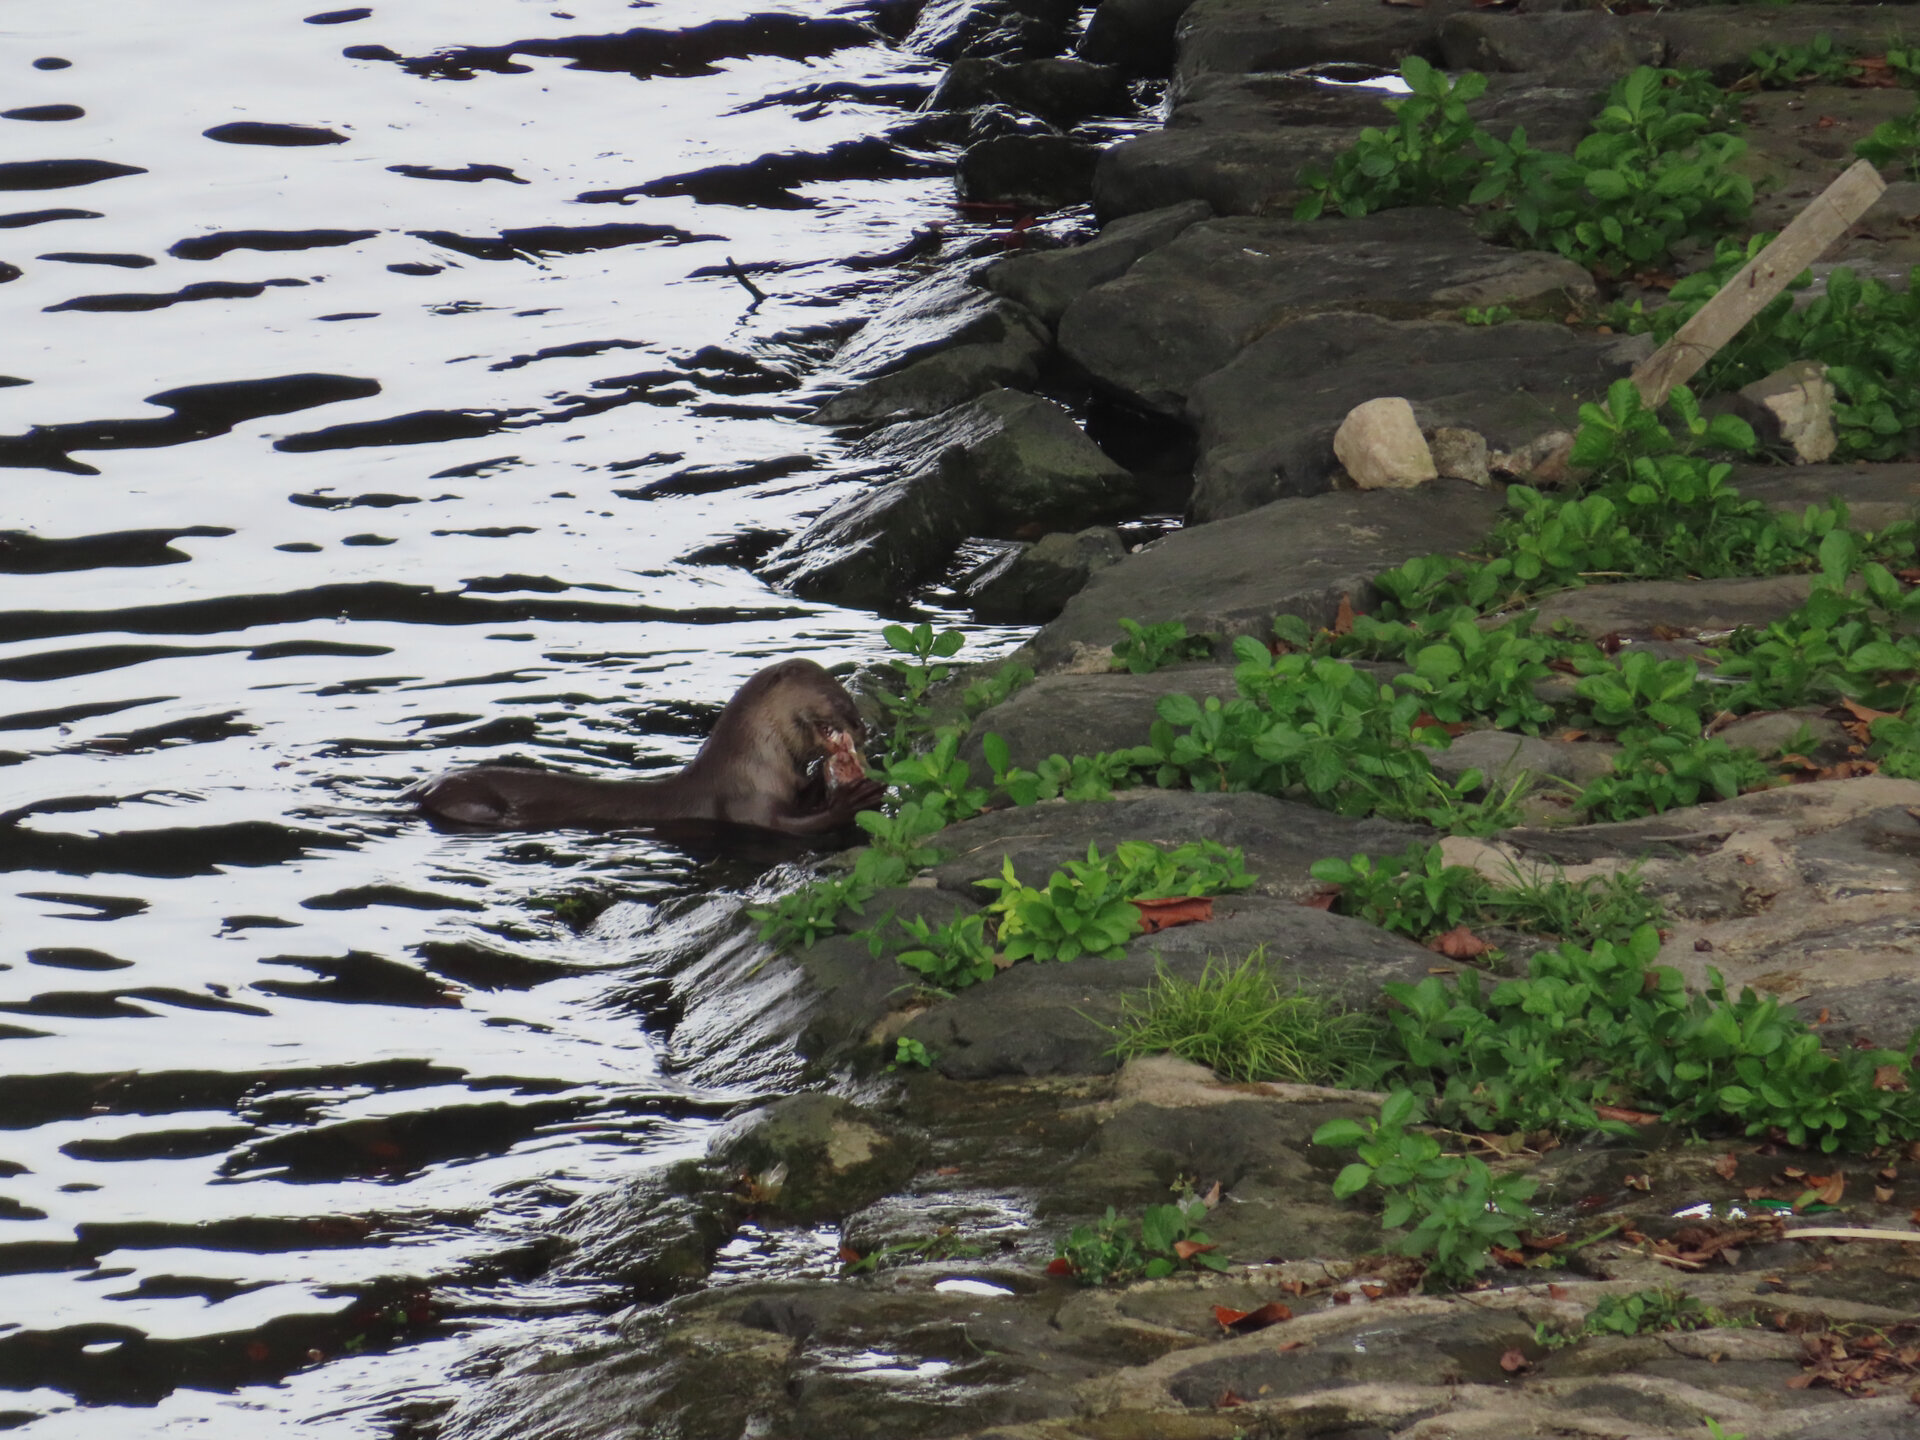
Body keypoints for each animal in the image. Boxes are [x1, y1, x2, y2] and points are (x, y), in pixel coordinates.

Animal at [416, 660, 887, 840]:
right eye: (839, 698)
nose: (862, 727)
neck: (753, 763)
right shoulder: (745, 805)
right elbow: (789, 826)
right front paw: (853, 799)